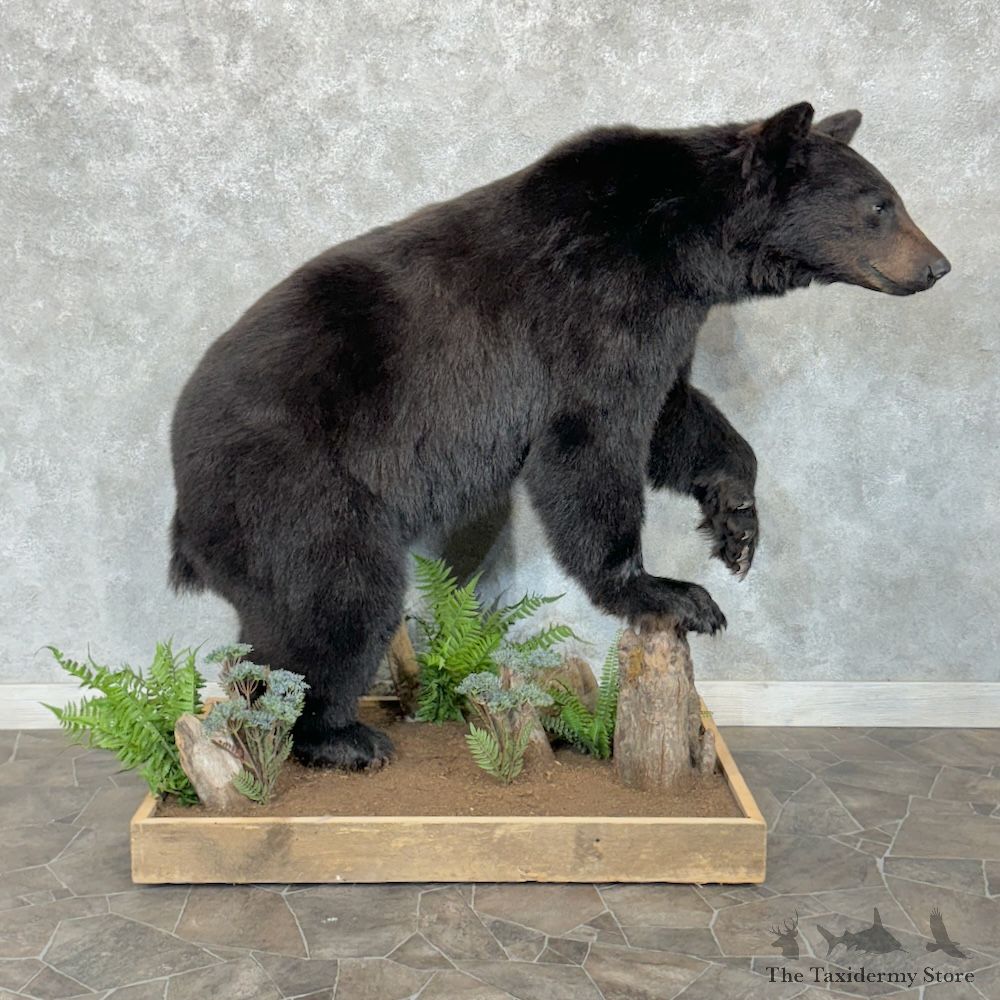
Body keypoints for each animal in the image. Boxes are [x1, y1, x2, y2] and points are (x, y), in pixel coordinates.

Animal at [169, 102, 949, 769]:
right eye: (880, 205)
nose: (937, 265)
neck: (686, 244)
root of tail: (182, 499)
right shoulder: (596, 304)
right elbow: (593, 443)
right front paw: (669, 592)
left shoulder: (668, 319)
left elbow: (675, 414)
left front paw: (736, 521)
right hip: (293, 483)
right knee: (337, 598)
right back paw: (336, 736)